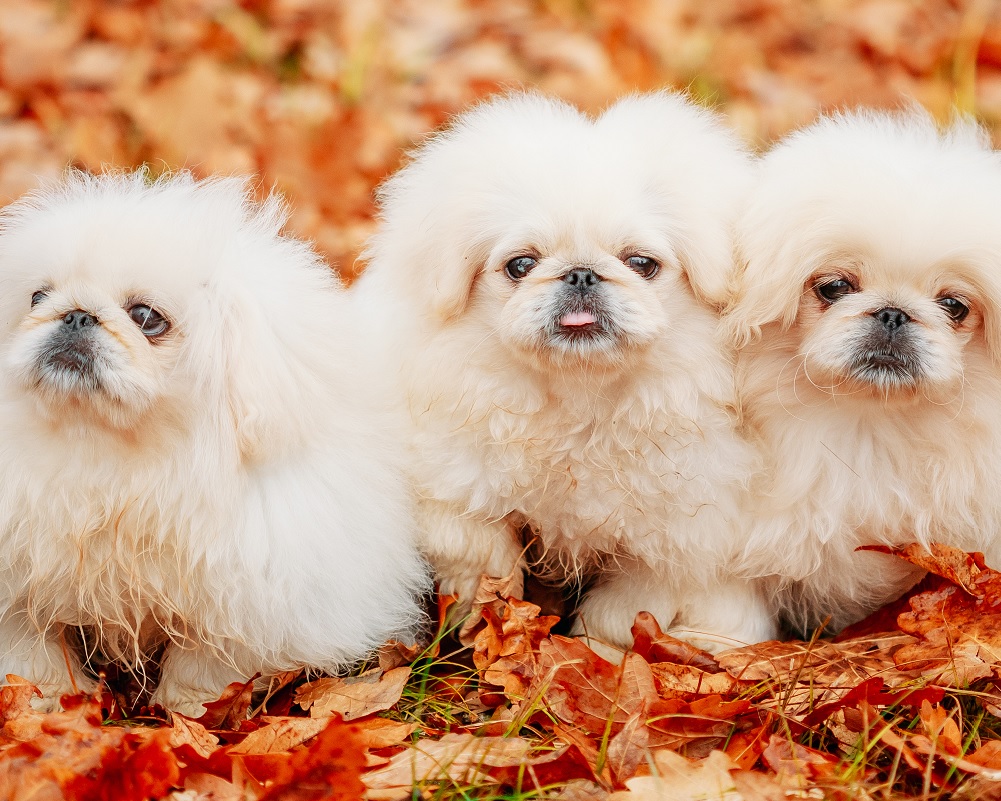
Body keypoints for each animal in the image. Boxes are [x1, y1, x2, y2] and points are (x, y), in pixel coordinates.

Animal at [0, 170, 426, 712]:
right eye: (37, 298)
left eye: (146, 317)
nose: (75, 315)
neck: (111, 458)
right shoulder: (19, 592)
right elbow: (32, 657)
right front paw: (44, 704)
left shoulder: (246, 598)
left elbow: (205, 666)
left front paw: (187, 711)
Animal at [356, 92, 776, 648]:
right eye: (520, 265)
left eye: (641, 264)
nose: (580, 273)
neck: (579, 401)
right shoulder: (459, 494)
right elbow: (485, 565)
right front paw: (489, 627)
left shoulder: (669, 540)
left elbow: (627, 609)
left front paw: (601, 648)